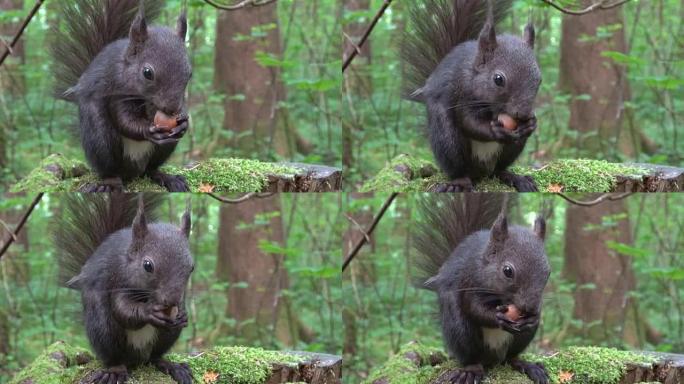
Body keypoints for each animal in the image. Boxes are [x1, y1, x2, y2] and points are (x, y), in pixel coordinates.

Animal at [51, 0, 192, 192]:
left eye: (190, 73)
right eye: (147, 73)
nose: (172, 109)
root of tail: (132, 168)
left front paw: (183, 123)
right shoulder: (114, 90)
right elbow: (124, 120)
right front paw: (149, 130)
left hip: (163, 150)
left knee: (150, 169)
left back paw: (165, 177)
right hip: (101, 139)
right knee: (110, 168)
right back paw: (110, 183)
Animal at [52, 195, 192, 384]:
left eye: (191, 267)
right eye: (147, 265)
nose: (171, 300)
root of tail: (137, 358)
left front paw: (183, 315)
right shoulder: (116, 282)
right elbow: (123, 310)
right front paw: (149, 311)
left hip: (166, 337)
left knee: (155, 357)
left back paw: (170, 366)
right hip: (104, 330)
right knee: (115, 357)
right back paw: (114, 371)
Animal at [400, 0, 540, 192]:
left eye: (539, 79)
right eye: (498, 79)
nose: (523, 113)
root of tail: (480, 170)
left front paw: (531, 124)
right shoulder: (460, 93)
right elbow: (468, 122)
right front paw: (495, 130)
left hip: (511, 149)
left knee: (498, 169)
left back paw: (514, 177)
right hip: (448, 140)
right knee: (459, 168)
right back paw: (459, 183)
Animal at [412, 195, 552, 384]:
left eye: (548, 272)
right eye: (508, 271)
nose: (529, 308)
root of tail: (492, 357)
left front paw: (533, 317)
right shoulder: (468, 280)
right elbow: (473, 308)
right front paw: (498, 317)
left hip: (521, 339)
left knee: (511, 357)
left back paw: (525, 365)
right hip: (460, 331)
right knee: (471, 357)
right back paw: (471, 371)